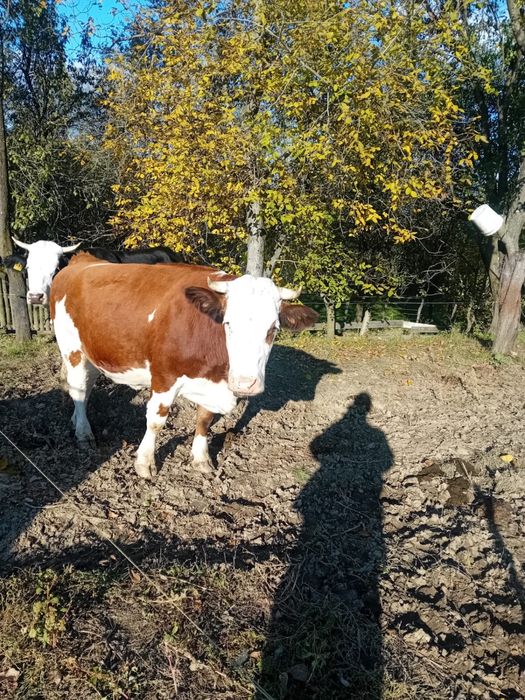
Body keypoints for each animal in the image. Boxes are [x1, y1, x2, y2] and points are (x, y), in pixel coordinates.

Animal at [50, 253, 319, 479]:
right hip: (71, 348)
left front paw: (201, 459)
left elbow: (205, 419)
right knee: (78, 389)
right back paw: (83, 433)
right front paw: (145, 463)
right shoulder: (164, 375)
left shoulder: (212, 382)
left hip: (93, 352)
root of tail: (82, 259)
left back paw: (76, 421)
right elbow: (156, 420)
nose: (245, 383)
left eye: (273, 329)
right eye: (228, 323)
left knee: (85, 387)